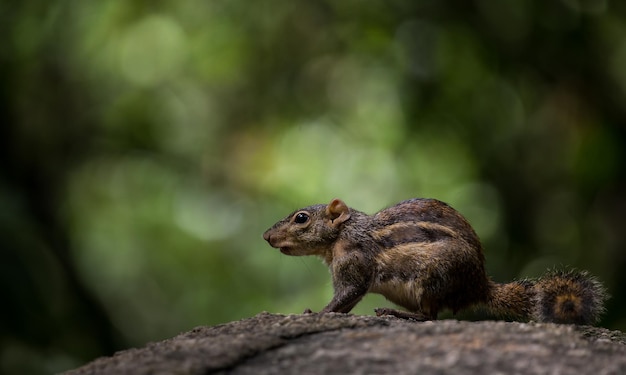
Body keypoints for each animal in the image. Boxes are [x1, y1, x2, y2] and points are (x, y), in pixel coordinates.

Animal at [260, 198, 608, 324]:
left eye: (301, 218)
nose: (265, 236)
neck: (343, 234)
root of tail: (479, 286)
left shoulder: (354, 264)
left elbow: (347, 295)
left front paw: (315, 313)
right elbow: (347, 302)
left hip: (433, 278)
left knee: (430, 316)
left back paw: (397, 313)